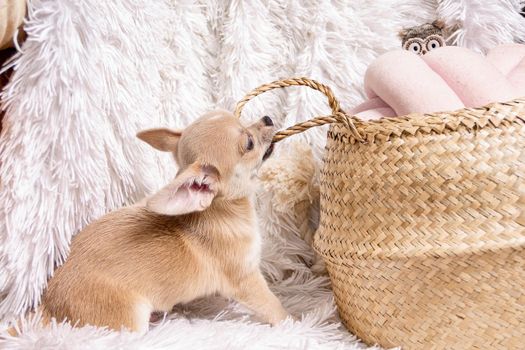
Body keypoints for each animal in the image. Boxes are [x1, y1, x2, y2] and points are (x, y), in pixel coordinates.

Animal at [36, 110, 288, 334]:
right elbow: (274, 306)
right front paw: (294, 324)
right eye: (249, 143)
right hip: (131, 316)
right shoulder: (246, 280)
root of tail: (47, 306)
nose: (267, 119)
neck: (223, 209)